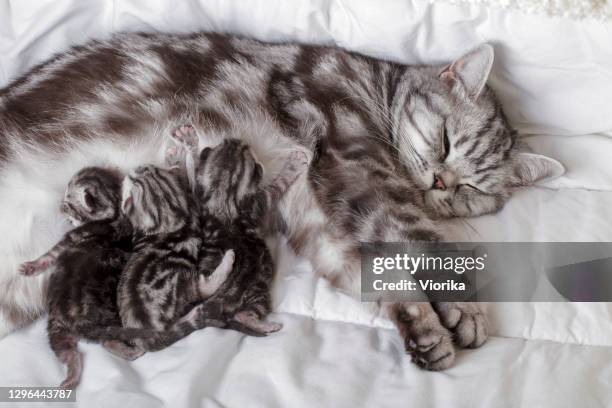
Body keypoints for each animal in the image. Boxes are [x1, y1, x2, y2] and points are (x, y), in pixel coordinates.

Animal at [17, 165, 232, 386]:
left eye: (68, 202)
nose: (60, 207)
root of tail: (74, 322)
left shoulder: (76, 235)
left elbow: (51, 253)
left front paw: (31, 265)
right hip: (60, 329)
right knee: (72, 352)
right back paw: (72, 379)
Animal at [166, 126, 308, 336]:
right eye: (246, 150)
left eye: (227, 144)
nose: (237, 141)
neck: (223, 195)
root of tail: (219, 306)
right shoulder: (259, 201)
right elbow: (279, 184)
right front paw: (294, 164)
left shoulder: (201, 198)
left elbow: (192, 173)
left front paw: (189, 143)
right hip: (259, 291)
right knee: (243, 314)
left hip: (256, 292)